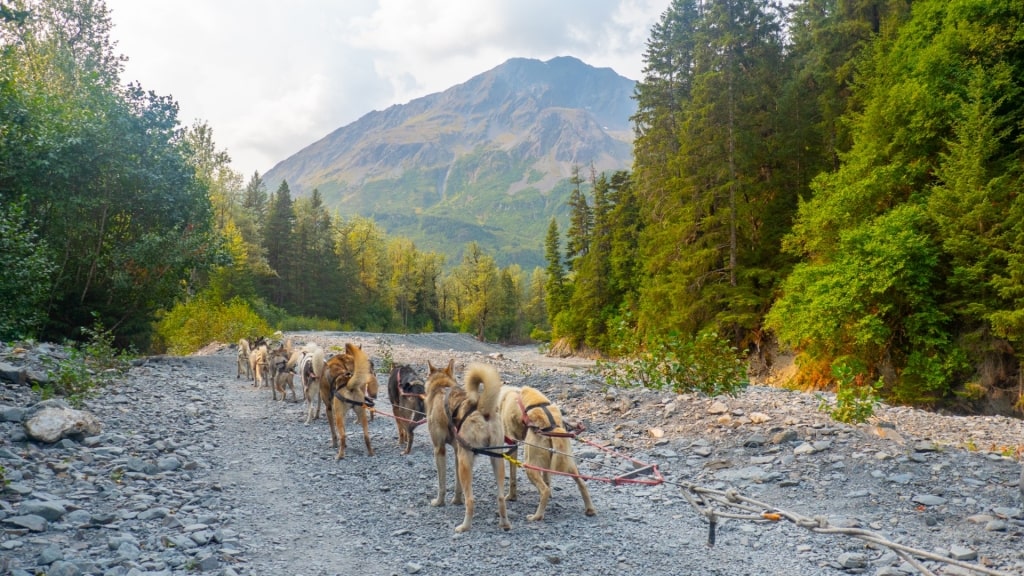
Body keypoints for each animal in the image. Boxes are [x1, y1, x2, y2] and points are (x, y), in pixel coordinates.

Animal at [421, 358, 509, 528]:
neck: (442, 386)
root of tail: (482, 410)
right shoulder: (457, 453)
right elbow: (457, 485)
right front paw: (456, 500)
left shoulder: (439, 450)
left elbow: (442, 484)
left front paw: (439, 502)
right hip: (495, 460)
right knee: (500, 497)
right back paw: (505, 524)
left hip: (465, 461)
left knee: (471, 500)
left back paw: (464, 527)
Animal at [497, 381, 598, 520]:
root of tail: (553, 427)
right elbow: (547, 478)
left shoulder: (512, 445)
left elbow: (513, 478)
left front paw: (512, 496)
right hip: (568, 464)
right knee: (581, 483)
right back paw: (590, 509)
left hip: (530, 466)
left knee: (545, 490)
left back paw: (537, 516)